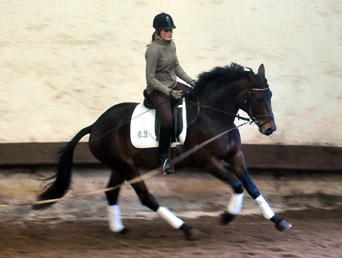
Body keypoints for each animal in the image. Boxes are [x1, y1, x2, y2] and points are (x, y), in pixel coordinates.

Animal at [32, 63, 292, 240]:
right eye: (257, 96)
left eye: (269, 95)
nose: (270, 128)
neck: (214, 115)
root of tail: (95, 126)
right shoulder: (207, 161)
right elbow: (237, 185)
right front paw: (227, 216)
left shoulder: (235, 156)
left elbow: (251, 186)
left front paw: (278, 221)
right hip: (127, 166)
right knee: (146, 197)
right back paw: (186, 228)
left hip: (119, 166)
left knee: (112, 194)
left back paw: (120, 229)